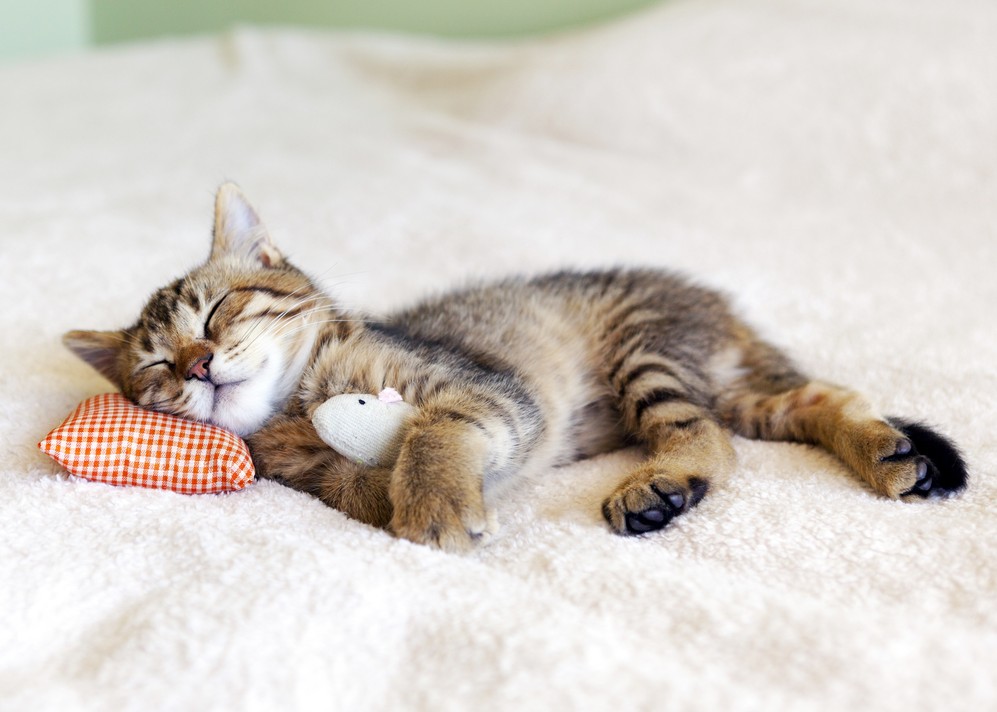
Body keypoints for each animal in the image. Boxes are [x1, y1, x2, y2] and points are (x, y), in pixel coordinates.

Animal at [62, 184, 964, 552]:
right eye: (156, 368)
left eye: (217, 311)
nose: (200, 364)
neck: (301, 401)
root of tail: (713, 303)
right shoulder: (306, 472)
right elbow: (353, 485)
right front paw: (388, 488)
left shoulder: (489, 391)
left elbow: (434, 428)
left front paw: (430, 497)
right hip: (741, 389)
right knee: (818, 399)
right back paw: (887, 454)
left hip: (646, 356)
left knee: (708, 438)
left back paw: (661, 484)